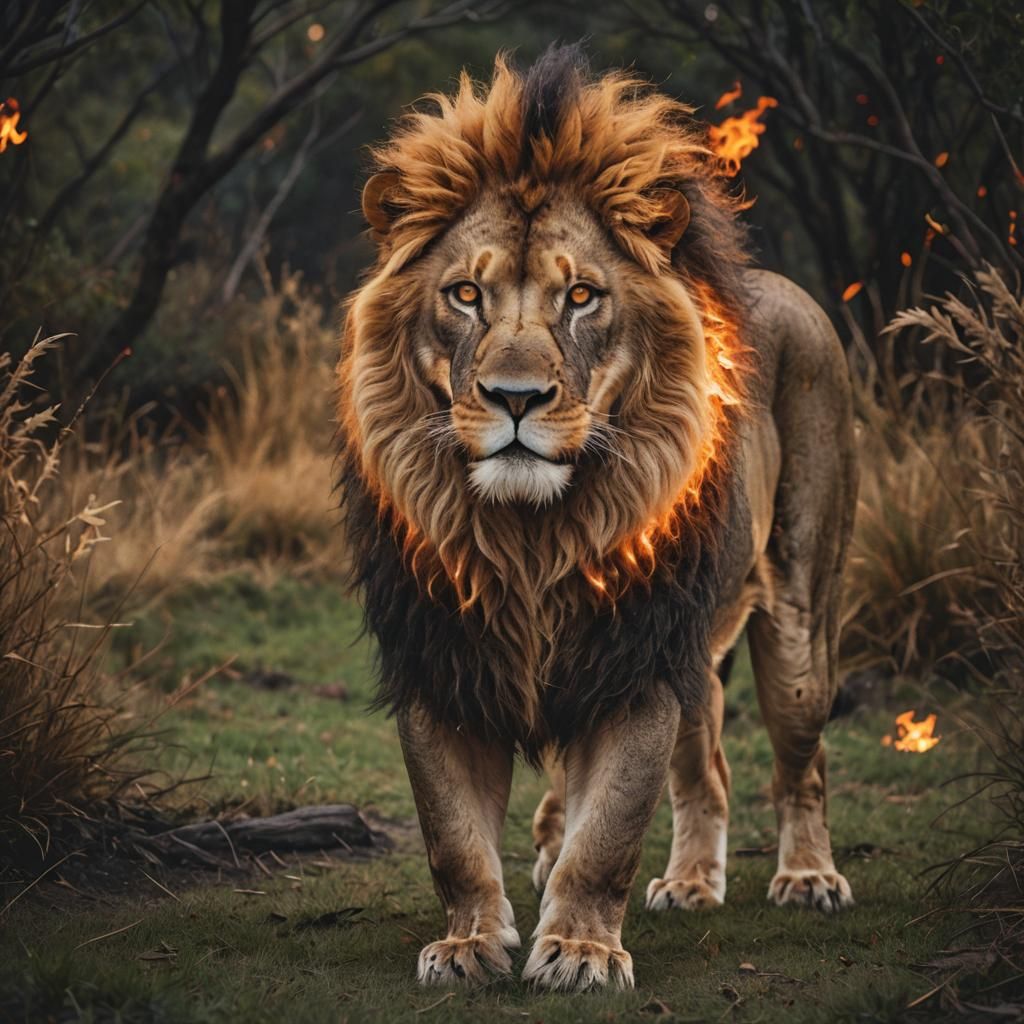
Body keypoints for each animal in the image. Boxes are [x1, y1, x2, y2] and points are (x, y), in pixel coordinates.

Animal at [336, 46, 857, 992]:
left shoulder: (636, 661)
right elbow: (453, 837)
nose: (515, 397)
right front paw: (468, 944)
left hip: (798, 618)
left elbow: (607, 834)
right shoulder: (440, 656)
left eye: (581, 296)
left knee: (805, 754)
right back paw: (690, 884)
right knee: (707, 771)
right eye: (464, 294)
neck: (529, 535)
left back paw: (808, 878)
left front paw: (580, 950)